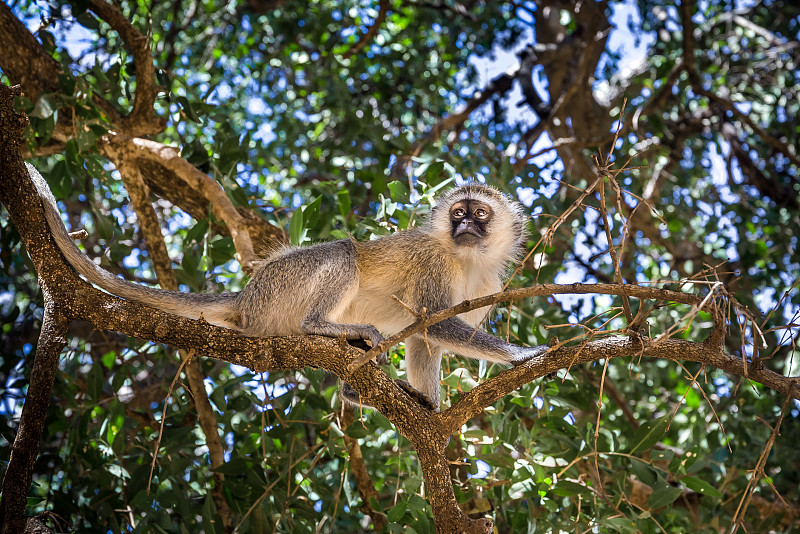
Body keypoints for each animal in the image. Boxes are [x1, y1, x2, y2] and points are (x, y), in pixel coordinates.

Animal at [28, 165, 548, 412]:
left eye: (479, 214)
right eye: (458, 213)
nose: (465, 226)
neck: (466, 259)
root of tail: (246, 298)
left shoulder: (487, 283)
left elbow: (426, 336)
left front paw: (428, 408)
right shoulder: (433, 263)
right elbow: (431, 323)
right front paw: (523, 354)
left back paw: (356, 385)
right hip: (281, 287)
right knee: (342, 251)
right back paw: (324, 329)